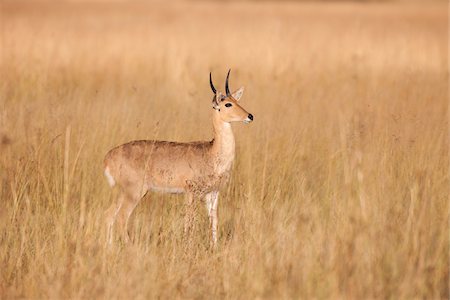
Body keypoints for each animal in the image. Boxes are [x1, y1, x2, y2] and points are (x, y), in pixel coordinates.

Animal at [104, 70, 253, 246]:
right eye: (227, 104)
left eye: (237, 100)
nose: (250, 116)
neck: (212, 152)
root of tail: (108, 157)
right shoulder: (190, 192)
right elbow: (189, 221)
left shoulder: (213, 193)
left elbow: (214, 221)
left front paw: (214, 247)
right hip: (134, 192)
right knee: (121, 218)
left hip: (124, 192)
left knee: (109, 215)